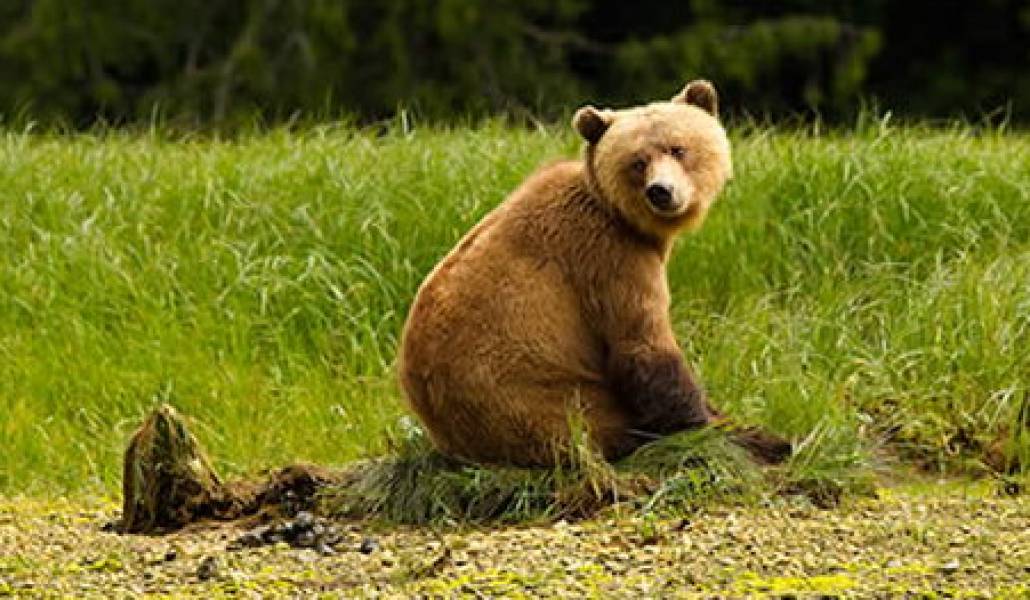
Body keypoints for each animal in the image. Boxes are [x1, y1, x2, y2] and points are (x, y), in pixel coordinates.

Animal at [398, 80, 791, 467]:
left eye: (677, 149)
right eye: (638, 161)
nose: (661, 191)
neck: (626, 219)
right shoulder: (608, 258)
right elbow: (643, 346)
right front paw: (745, 436)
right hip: (541, 398)